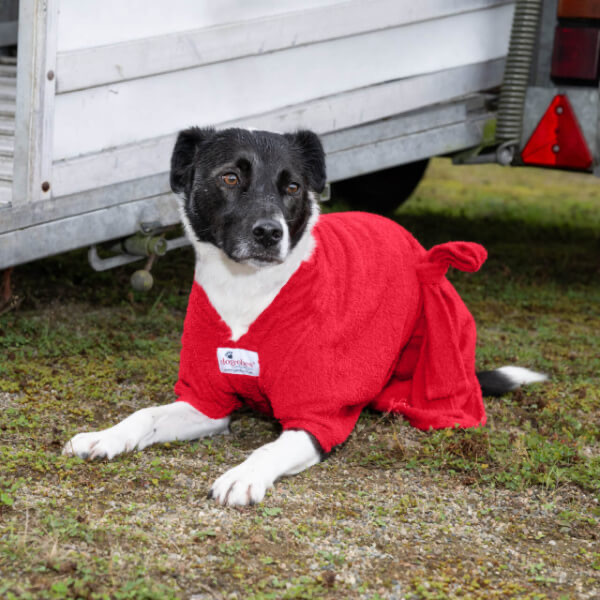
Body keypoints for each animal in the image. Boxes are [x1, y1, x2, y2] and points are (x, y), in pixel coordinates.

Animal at [63, 127, 548, 506]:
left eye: (293, 187)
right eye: (230, 177)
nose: (269, 233)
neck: (247, 288)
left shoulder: (317, 419)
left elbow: (269, 448)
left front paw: (243, 475)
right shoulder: (206, 402)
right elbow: (144, 414)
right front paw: (105, 436)